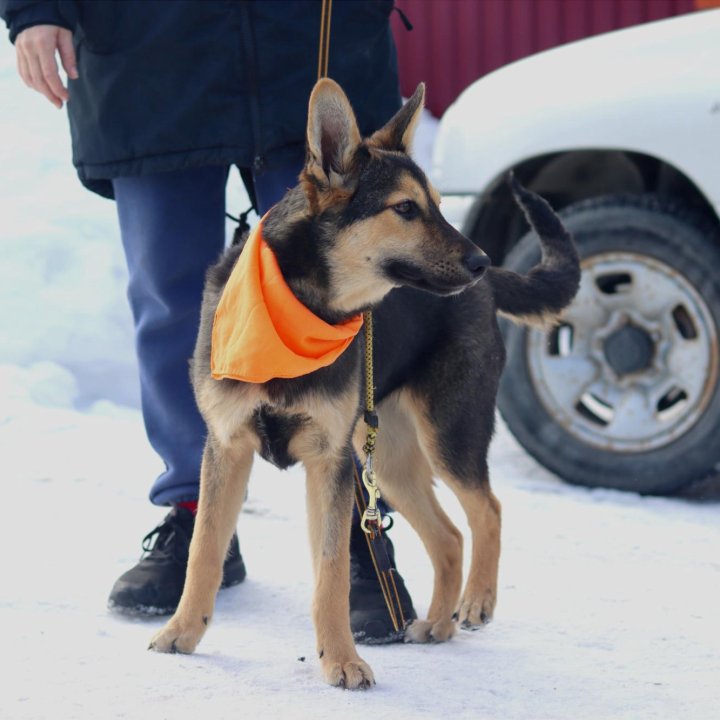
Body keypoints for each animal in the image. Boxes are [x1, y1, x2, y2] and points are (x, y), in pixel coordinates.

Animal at [149, 76, 584, 688]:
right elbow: (204, 550)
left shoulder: (329, 459)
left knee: (488, 510)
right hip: (389, 456)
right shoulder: (228, 446)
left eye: (439, 206)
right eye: (405, 209)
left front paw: (341, 658)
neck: (302, 306)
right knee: (449, 536)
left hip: (444, 434)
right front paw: (182, 632)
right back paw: (438, 624)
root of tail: (489, 287)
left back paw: (476, 601)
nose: (479, 259)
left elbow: (332, 570)